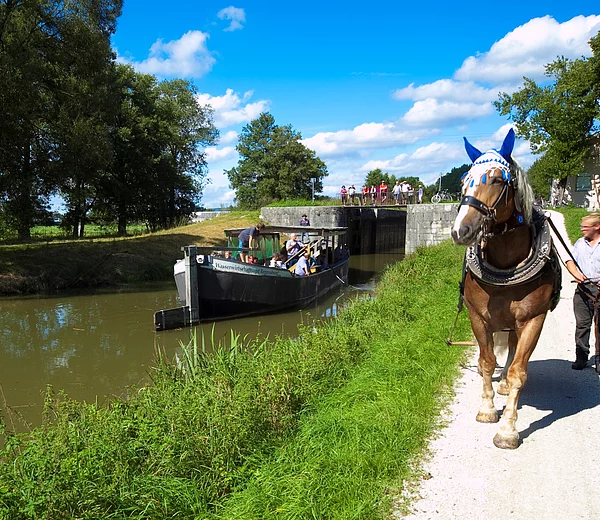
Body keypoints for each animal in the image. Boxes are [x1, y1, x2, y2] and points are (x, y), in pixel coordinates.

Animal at [450, 128, 564, 448]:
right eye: (464, 180)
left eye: (498, 180)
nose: (460, 230)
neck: (506, 265)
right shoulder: (478, 316)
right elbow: (487, 361)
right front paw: (487, 409)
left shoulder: (533, 319)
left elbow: (517, 373)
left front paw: (508, 429)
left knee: (513, 350)